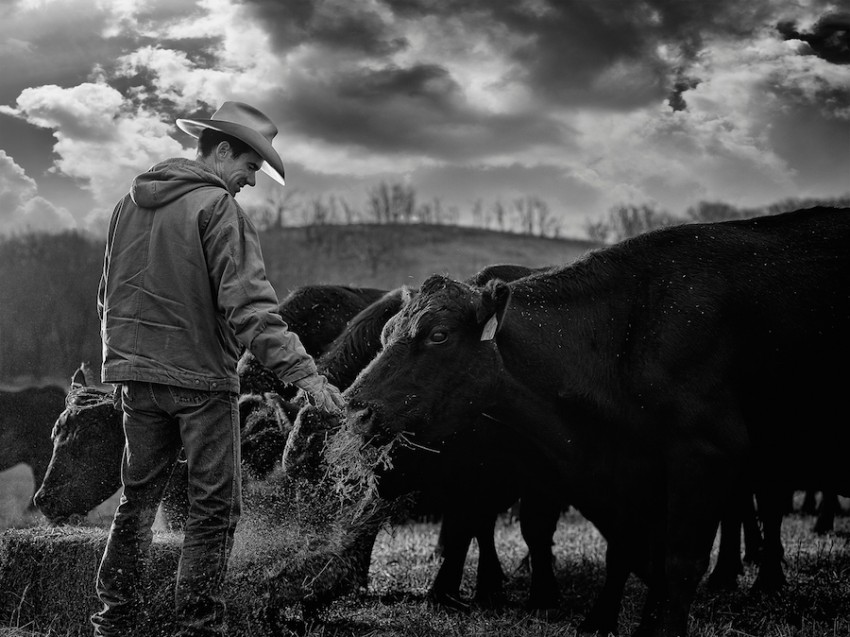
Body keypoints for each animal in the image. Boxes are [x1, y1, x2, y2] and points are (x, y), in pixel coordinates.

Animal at [344, 205, 848, 636]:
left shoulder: (708, 454)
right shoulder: (627, 478)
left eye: (439, 335)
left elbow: (679, 563)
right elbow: (630, 552)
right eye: (387, 333)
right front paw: (616, 621)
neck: (624, 332)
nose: (353, 407)